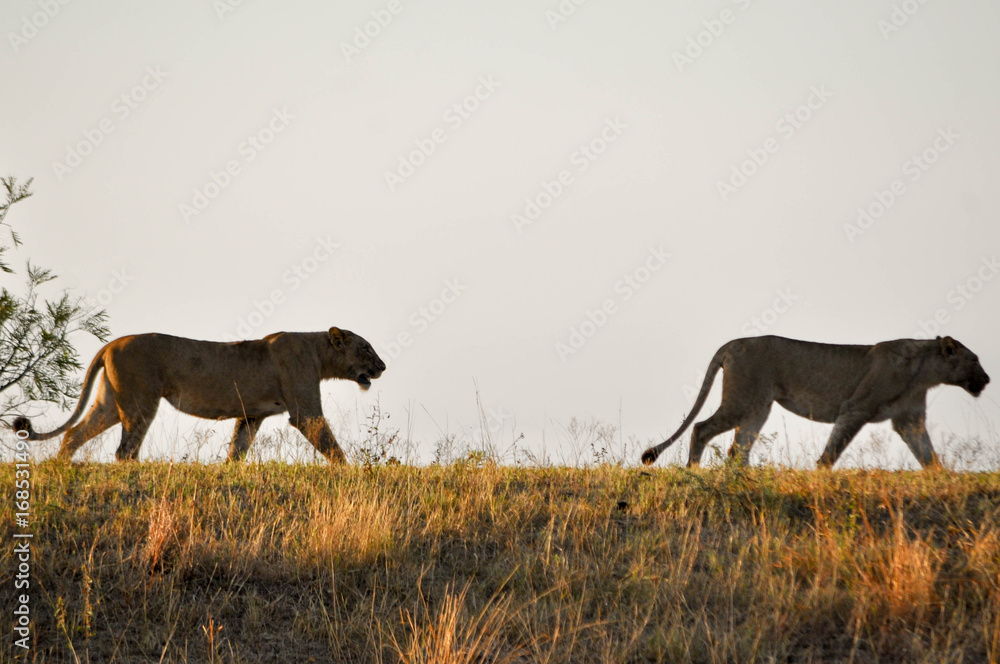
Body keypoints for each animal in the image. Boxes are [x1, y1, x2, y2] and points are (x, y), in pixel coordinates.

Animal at [12, 327, 385, 463]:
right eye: (365, 348)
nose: (383, 366)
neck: (319, 352)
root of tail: (111, 343)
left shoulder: (251, 414)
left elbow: (237, 450)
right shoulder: (305, 412)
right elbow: (331, 446)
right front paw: (352, 473)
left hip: (110, 404)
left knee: (75, 433)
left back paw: (60, 468)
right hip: (141, 402)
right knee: (125, 450)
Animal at [641, 335, 990, 469]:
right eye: (974, 360)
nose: (986, 380)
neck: (924, 373)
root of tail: (732, 342)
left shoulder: (909, 420)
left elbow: (928, 455)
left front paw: (942, 477)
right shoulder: (855, 409)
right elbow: (833, 450)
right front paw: (820, 472)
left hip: (758, 407)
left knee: (737, 448)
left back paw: (743, 476)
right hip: (743, 401)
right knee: (701, 428)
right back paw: (693, 471)